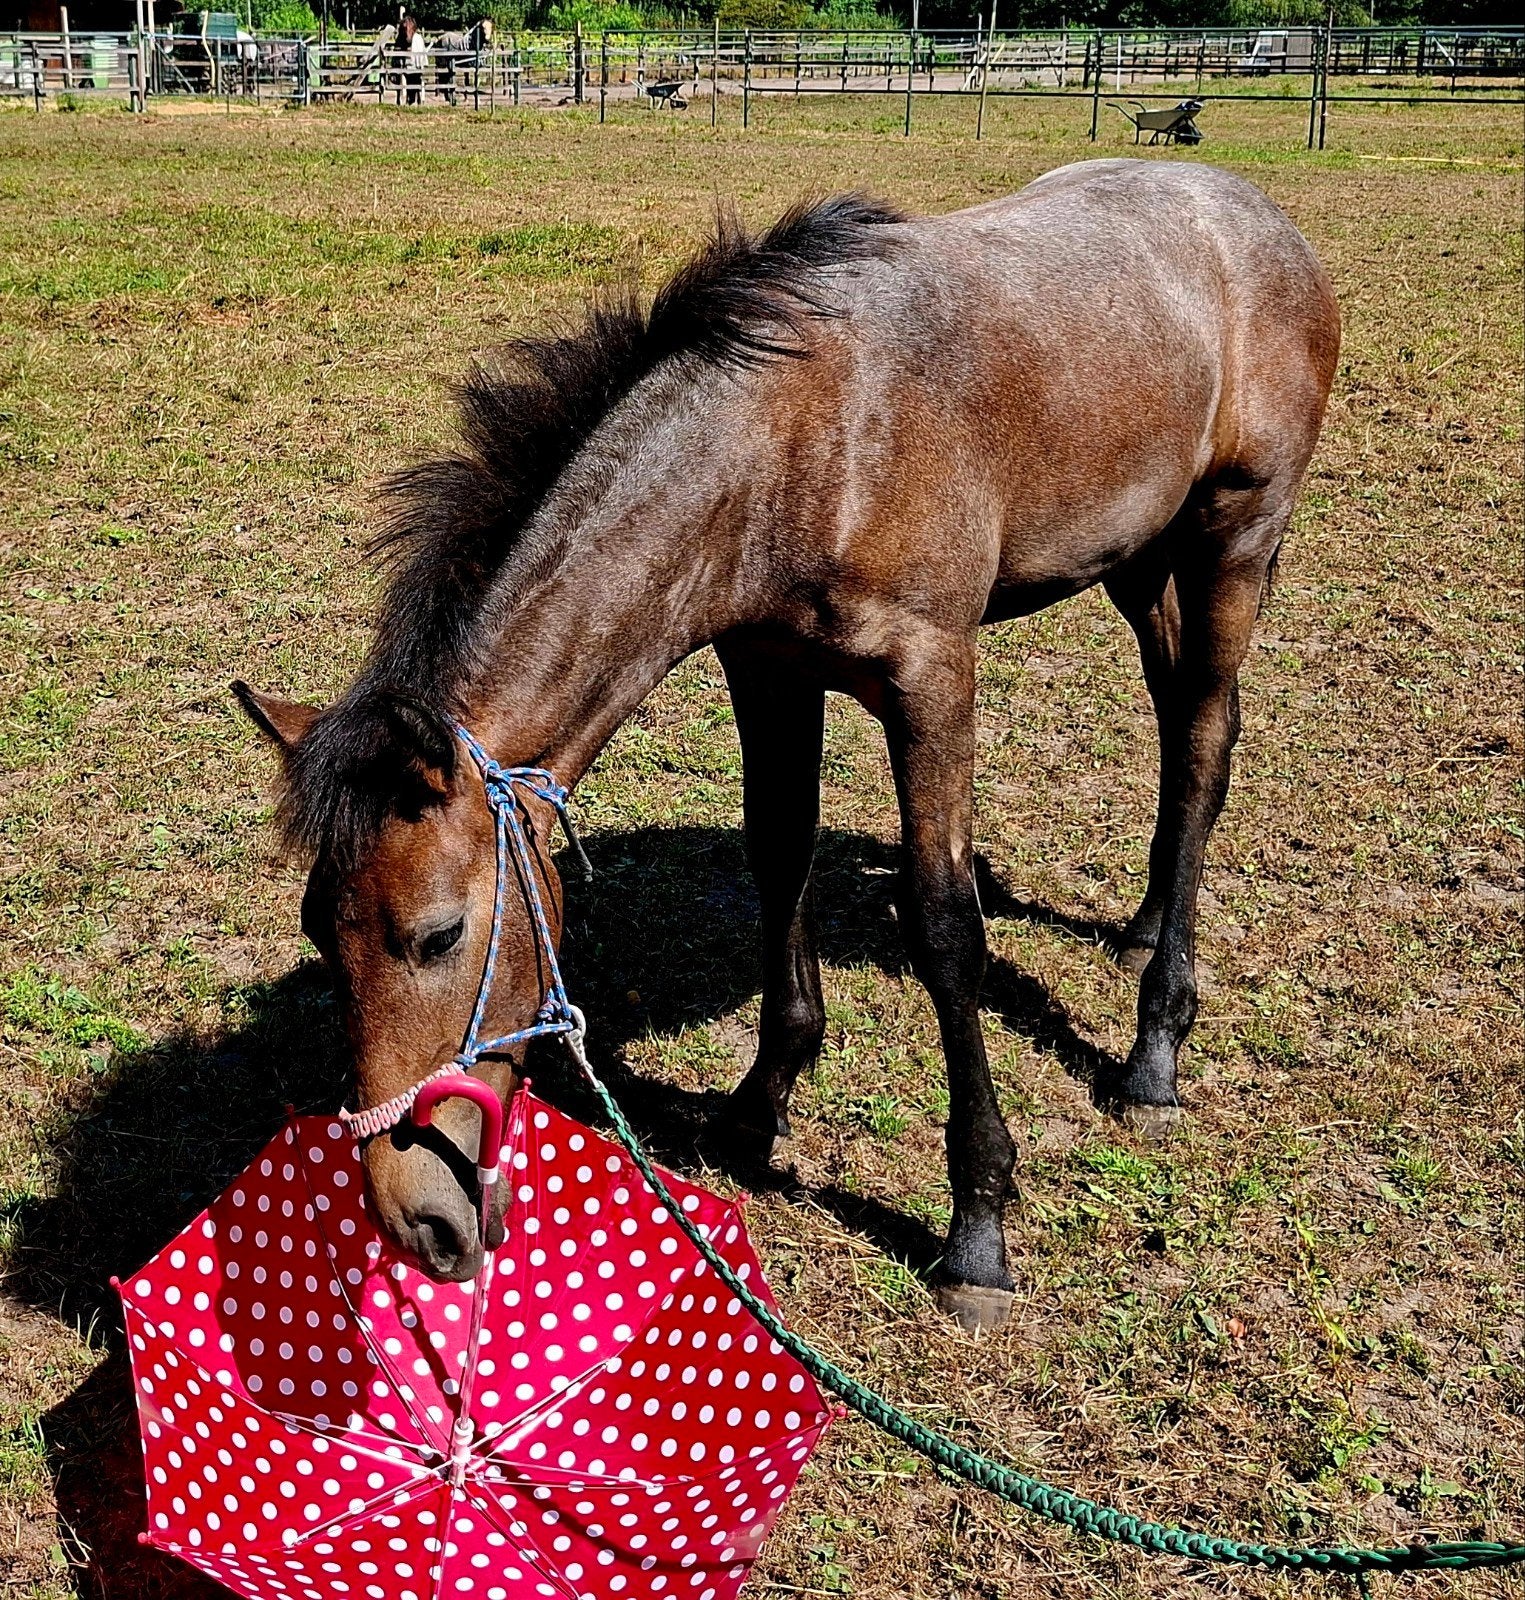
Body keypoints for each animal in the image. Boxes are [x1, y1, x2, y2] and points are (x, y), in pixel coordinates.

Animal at [235, 162, 1339, 1334]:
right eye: (319, 931)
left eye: (438, 936)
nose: (416, 1220)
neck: (802, 441)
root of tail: (1256, 215)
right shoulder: (765, 664)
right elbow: (779, 850)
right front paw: (759, 1101)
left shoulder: (931, 677)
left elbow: (945, 925)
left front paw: (977, 1229)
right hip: (1136, 556)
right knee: (1179, 727)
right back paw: (1137, 931)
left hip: (1232, 540)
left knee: (1204, 747)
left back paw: (1154, 1050)